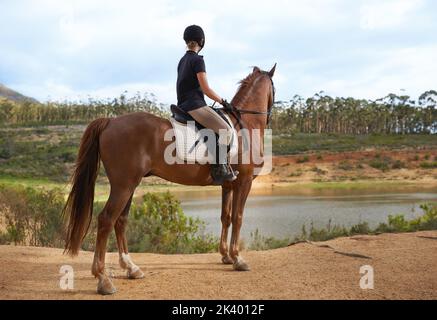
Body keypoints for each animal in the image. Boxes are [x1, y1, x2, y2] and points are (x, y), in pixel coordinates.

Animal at [63, 63, 276, 294]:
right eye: (274, 88)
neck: (245, 124)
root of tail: (110, 121)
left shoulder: (228, 185)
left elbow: (226, 217)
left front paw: (226, 256)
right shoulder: (244, 182)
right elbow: (238, 218)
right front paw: (238, 259)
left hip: (129, 185)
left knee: (120, 221)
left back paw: (131, 268)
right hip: (123, 185)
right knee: (106, 220)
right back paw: (103, 279)